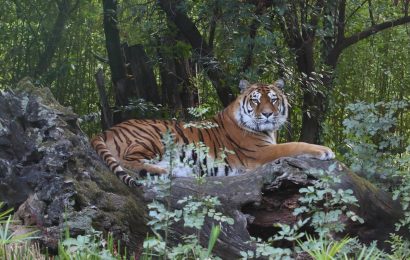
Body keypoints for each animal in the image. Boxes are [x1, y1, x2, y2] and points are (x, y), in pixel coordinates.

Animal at [91, 79, 334, 187]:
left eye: (273, 100)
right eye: (255, 100)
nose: (267, 114)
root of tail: (108, 130)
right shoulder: (260, 153)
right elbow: (294, 145)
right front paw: (325, 150)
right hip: (156, 136)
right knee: (127, 161)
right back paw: (165, 171)